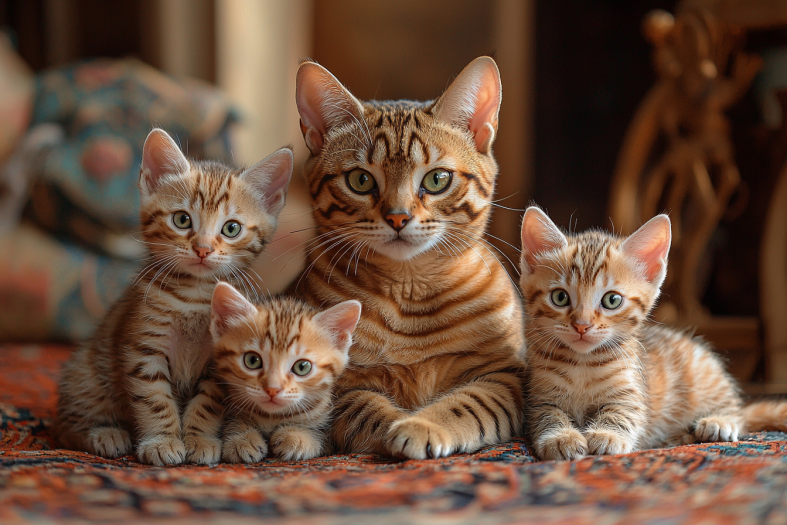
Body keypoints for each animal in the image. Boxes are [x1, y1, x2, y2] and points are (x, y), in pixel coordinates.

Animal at [56, 129, 296, 464]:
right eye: (182, 220)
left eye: (231, 228)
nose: (203, 248)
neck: (195, 295)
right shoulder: (144, 348)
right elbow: (154, 399)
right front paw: (162, 441)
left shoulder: (221, 361)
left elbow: (208, 403)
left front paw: (199, 439)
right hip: (86, 373)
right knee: (65, 427)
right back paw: (105, 433)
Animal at [206, 280, 360, 460]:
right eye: (252, 360)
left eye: (302, 367)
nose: (273, 389)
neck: (272, 417)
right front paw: (241, 437)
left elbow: (320, 434)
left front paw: (298, 437)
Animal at [292, 56, 528, 458]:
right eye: (360, 180)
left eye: (437, 179)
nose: (398, 217)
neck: (410, 287)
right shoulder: (338, 384)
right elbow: (368, 409)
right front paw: (398, 424)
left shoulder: (504, 376)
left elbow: (466, 403)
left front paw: (422, 424)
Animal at [516, 207, 787, 460]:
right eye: (560, 297)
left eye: (612, 300)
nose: (582, 325)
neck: (583, 362)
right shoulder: (538, 395)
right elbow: (546, 415)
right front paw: (560, 438)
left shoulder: (633, 393)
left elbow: (624, 413)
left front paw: (607, 435)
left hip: (707, 377)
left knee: (737, 412)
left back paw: (718, 421)